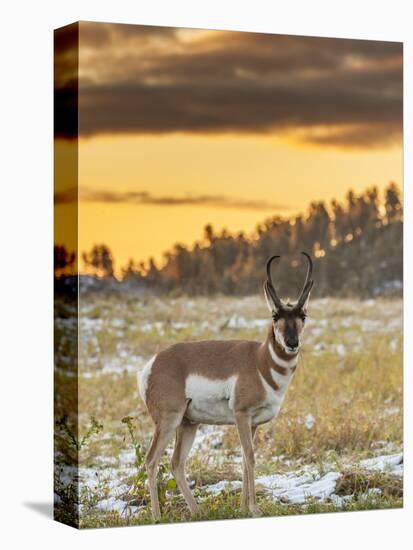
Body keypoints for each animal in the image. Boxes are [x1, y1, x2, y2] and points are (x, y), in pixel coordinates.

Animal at [137, 253, 314, 520]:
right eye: (275, 316)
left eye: (302, 316)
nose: (292, 343)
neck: (260, 361)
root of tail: (153, 363)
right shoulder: (241, 415)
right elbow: (250, 458)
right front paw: (254, 509)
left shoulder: (253, 423)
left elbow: (244, 460)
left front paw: (242, 508)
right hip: (169, 420)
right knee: (151, 460)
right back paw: (157, 517)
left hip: (188, 424)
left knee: (176, 463)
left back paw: (197, 511)